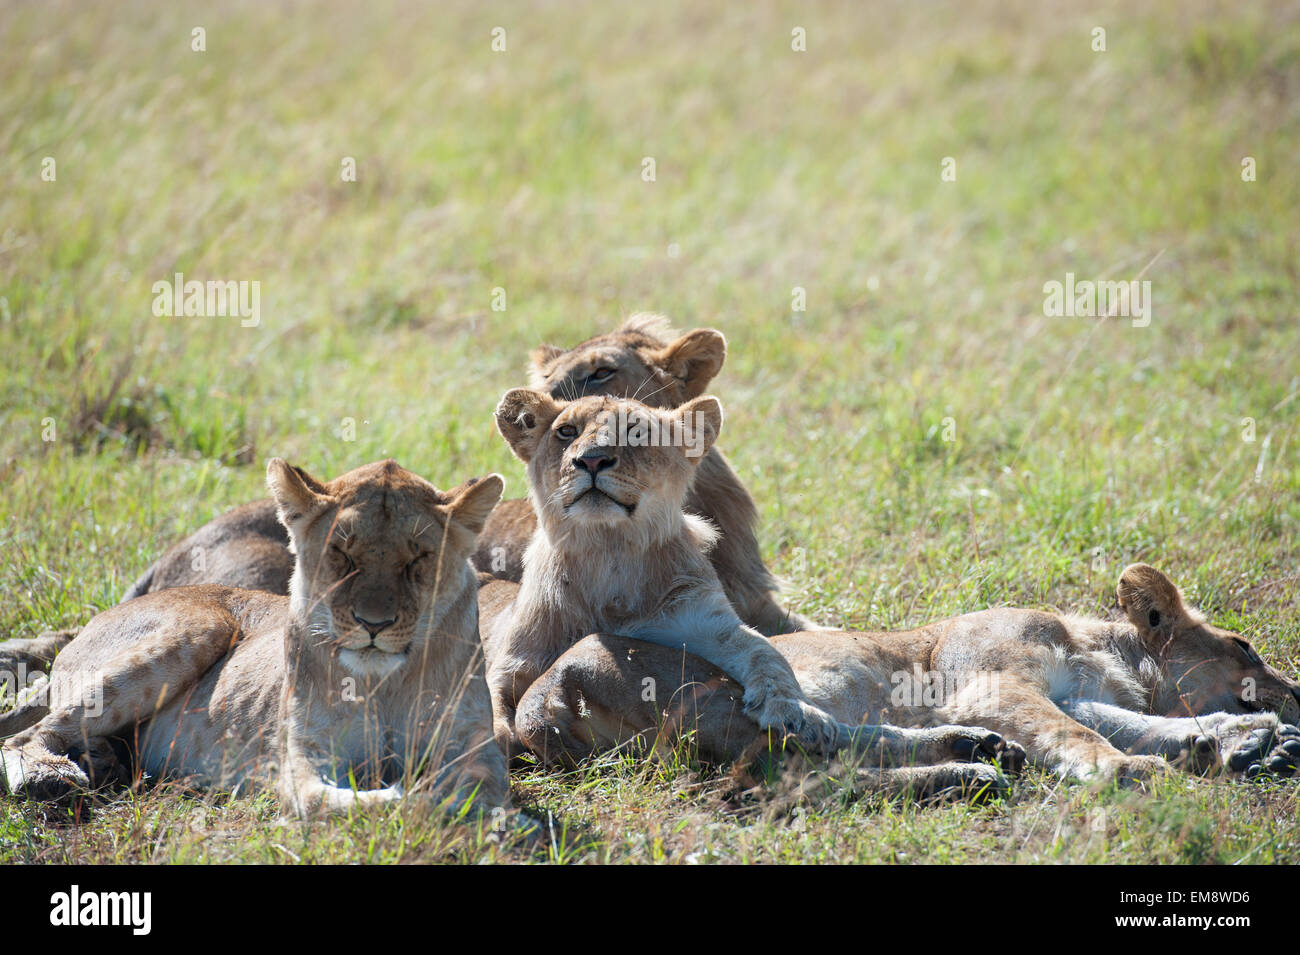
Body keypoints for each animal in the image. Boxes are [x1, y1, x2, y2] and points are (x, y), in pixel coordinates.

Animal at [0, 459, 506, 815]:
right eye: (340, 554)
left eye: (418, 559)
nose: (373, 624)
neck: (382, 684)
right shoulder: (300, 752)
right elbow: (324, 801)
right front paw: (404, 797)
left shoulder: (477, 747)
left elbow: (475, 792)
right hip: (201, 626)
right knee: (25, 736)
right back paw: (51, 779)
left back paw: (103, 760)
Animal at [478, 389, 1024, 800]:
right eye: (565, 433)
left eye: (637, 433)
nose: (590, 460)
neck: (606, 555)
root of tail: (550, 706)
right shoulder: (513, 660)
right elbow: (492, 698)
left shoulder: (707, 625)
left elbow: (764, 655)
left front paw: (789, 705)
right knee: (836, 758)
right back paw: (976, 760)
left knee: (837, 748)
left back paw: (977, 753)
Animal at [517, 563, 1300, 779]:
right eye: (1246, 647)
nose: (1296, 692)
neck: (1100, 648)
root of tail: (535, 702)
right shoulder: (993, 683)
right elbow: (1087, 737)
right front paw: (1131, 770)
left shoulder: (1068, 695)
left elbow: (1124, 721)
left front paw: (1228, 735)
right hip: (712, 692)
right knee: (823, 765)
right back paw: (969, 763)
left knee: (844, 752)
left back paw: (976, 755)